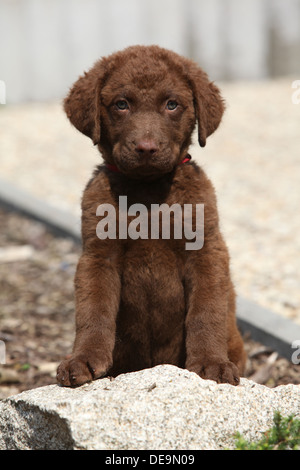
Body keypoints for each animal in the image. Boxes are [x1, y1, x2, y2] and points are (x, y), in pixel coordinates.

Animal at [56, 46, 246, 388]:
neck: (147, 194)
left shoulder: (206, 249)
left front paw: (211, 362)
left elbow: (206, 311)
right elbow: (93, 312)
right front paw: (83, 359)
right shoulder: (98, 255)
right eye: (121, 104)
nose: (146, 148)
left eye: (172, 104)